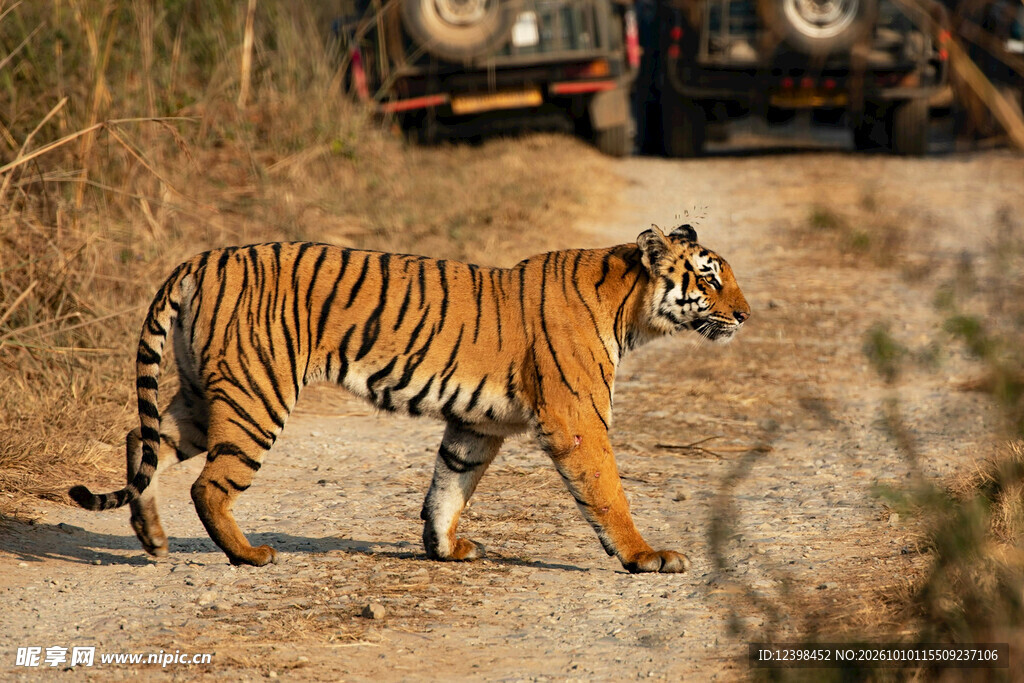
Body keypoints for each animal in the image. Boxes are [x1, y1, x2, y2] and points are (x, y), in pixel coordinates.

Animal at [69, 223, 749, 573]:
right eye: (710, 278)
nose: (745, 314)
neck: (629, 308)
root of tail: (202, 259)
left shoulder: (477, 425)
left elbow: (449, 486)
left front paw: (446, 549)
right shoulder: (575, 419)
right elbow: (606, 493)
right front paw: (645, 556)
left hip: (207, 397)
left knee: (140, 439)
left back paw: (152, 538)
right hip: (255, 396)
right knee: (208, 484)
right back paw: (249, 554)